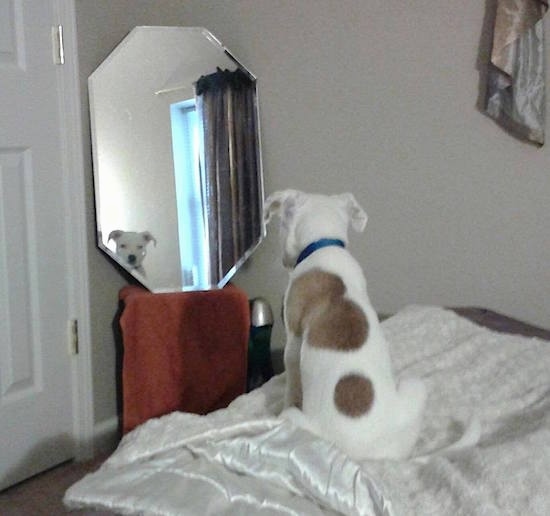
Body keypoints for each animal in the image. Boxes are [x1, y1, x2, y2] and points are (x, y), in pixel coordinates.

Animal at [266, 189, 430, 460]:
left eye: (281, 225)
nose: (283, 261)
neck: (325, 243)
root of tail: (365, 454)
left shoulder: (293, 340)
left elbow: (291, 382)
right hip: (414, 385)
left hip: (298, 422)